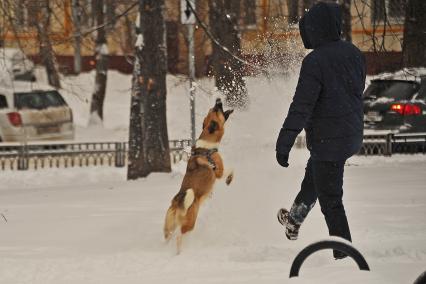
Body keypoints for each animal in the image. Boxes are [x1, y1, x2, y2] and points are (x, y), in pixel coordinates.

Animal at [164, 98, 236, 254]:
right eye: (216, 109)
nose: (218, 100)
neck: (207, 146)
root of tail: (178, 201)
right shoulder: (219, 171)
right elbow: (230, 170)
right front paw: (229, 179)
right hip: (190, 223)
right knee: (180, 236)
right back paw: (180, 253)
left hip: (169, 225)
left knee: (168, 236)